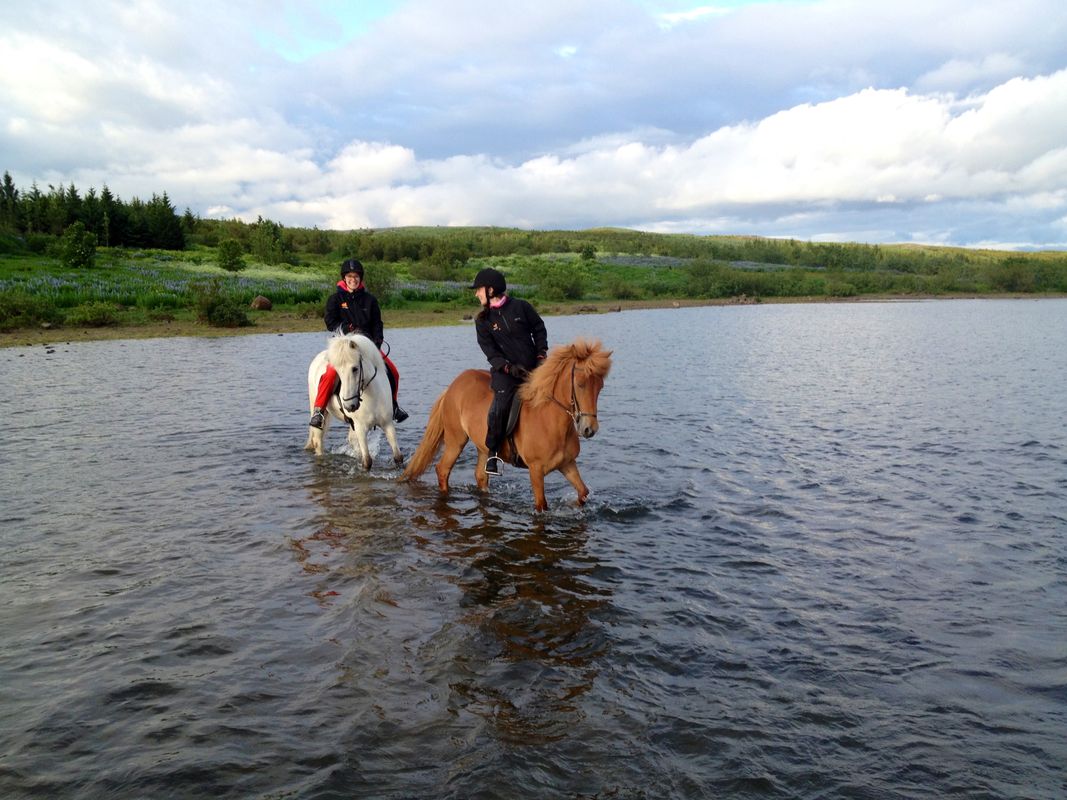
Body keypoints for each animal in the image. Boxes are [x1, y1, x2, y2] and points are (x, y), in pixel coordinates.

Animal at [303, 333, 404, 469]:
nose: (349, 405)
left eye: (355, 369)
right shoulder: (360, 427)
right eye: (337, 371)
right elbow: (367, 462)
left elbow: (398, 457)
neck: (372, 396)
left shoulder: (387, 423)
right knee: (318, 441)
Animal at [403, 338, 612, 511]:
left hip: (484, 447)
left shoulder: (567, 464)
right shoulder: (536, 471)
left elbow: (583, 492)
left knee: (481, 476)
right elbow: (541, 505)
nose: (589, 429)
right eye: (581, 384)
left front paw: (571, 505)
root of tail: (453, 386)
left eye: (600, 386)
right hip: (456, 440)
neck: (549, 419)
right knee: (443, 470)